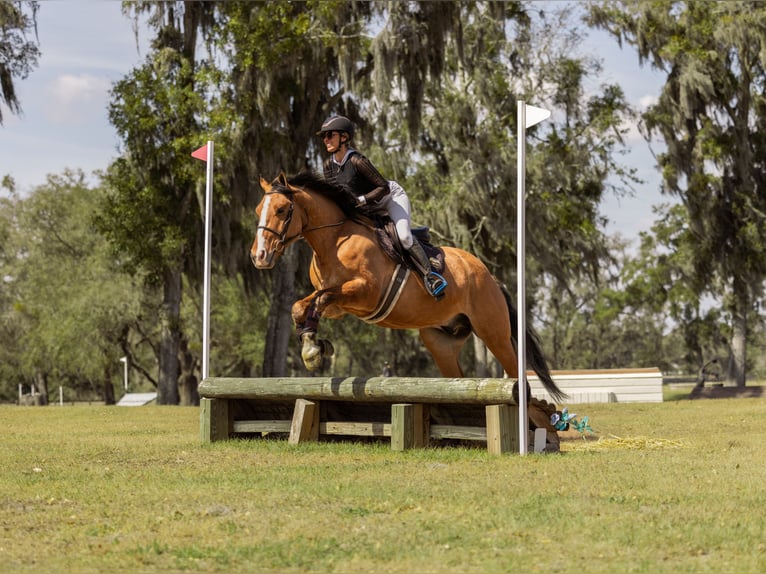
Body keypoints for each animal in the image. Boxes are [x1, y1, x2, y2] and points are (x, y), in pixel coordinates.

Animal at [250, 171, 565, 402]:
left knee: (515, 371)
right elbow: (304, 305)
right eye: (257, 210)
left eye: (282, 209)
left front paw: (314, 350)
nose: (259, 256)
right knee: (458, 376)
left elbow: (320, 299)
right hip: (440, 341)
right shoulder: (339, 305)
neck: (335, 238)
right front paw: (313, 346)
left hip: (492, 332)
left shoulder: (365, 292)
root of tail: (492, 278)